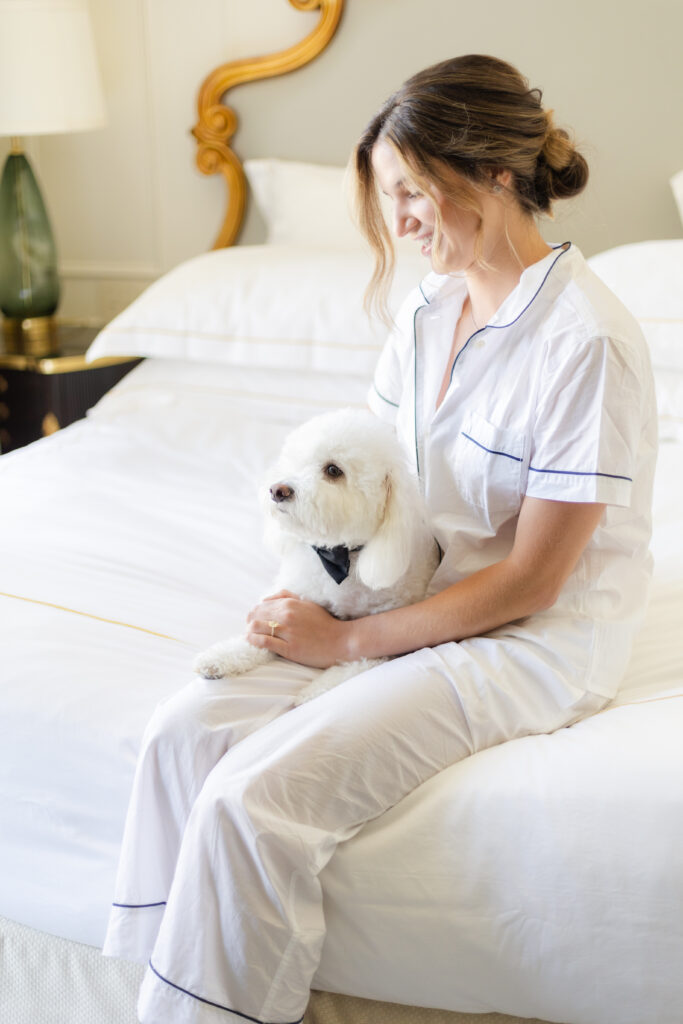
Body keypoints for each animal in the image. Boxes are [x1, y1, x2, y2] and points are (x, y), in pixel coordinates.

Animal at [193, 407, 438, 704]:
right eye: (295, 463)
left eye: (333, 470)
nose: (277, 490)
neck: (341, 558)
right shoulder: (290, 597)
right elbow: (254, 639)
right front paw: (221, 657)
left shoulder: (386, 639)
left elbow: (356, 661)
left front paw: (313, 692)